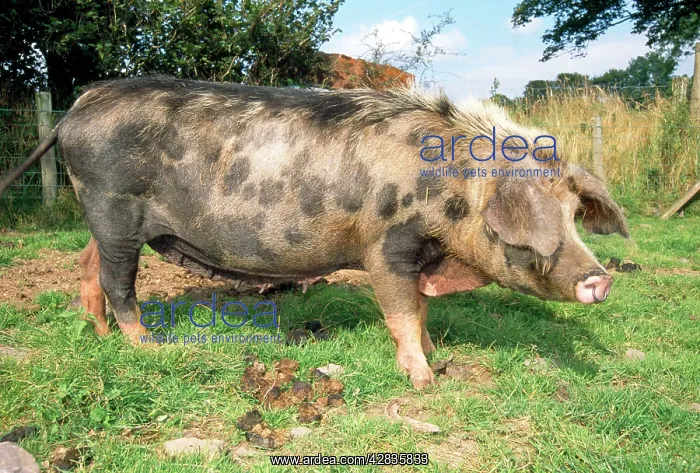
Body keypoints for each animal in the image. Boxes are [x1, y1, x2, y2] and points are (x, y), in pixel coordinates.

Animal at [0, 77, 629, 388]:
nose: (600, 279)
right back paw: (147, 345)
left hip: (103, 217)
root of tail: (74, 108)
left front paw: (439, 357)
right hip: (113, 207)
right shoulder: (386, 244)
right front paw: (425, 382)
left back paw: (100, 334)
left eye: (575, 218)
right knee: (119, 280)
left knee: (87, 263)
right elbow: (400, 310)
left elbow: (422, 311)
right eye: (535, 229)